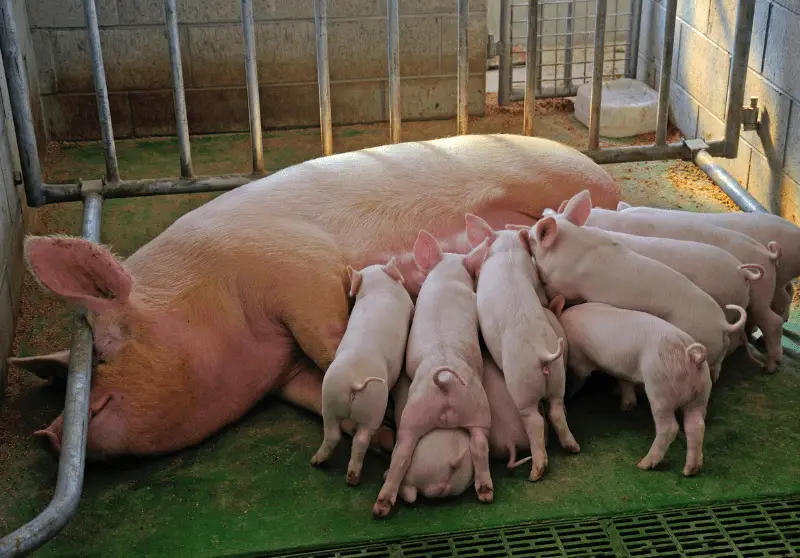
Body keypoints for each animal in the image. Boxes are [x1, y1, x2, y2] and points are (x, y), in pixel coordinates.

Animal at [310, 258, 414, 485]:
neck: (378, 286)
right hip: (374, 406)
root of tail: (354, 382)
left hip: (329, 398)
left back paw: (316, 461)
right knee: (361, 439)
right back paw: (353, 479)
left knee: (332, 434)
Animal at [465, 214, 579, 482]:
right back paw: (573, 447)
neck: (507, 251)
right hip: (558, 378)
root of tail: (542, 354)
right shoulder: (534, 277)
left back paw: (536, 473)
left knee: (534, 420)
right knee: (556, 410)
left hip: (520, 384)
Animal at [549, 296, 712, 476]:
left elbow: (580, 376)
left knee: (670, 427)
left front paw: (570, 393)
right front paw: (626, 406)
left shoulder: (579, 359)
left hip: (660, 389)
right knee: (696, 425)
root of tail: (691, 356)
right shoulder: (621, 370)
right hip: (701, 392)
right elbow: (624, 381)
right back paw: (690, 470)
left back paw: (643, 464)